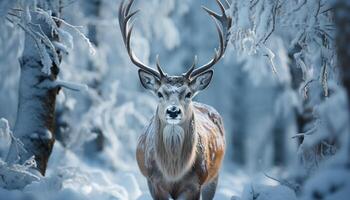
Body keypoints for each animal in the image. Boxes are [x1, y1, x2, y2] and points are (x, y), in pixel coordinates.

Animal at [119, 0, 231, 199]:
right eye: (159, 93)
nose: (173, 110)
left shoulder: (194, 185)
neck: (173, 173)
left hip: (214, 177)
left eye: (188, 94)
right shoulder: (154, 182)